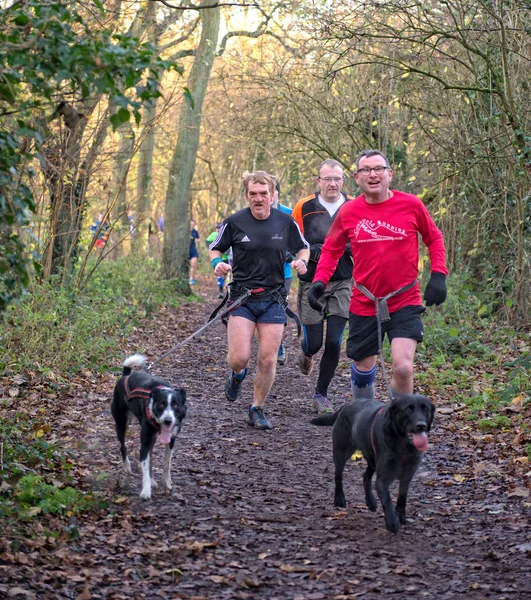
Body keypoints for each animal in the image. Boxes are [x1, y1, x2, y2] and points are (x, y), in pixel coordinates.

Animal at [111, 354, 188, 500]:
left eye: (175, 405)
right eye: (161, 405)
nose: (168, 420)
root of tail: (125, 376)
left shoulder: (171, 439)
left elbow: (167, 463)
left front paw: (166, 482)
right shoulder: (145, 443)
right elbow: (146, 469)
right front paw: (146, 491)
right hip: (121, 423)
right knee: (123, 446)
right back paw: (127, 466)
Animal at [314, 394, 434, 536]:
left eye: (425, 409)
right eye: (408, 409)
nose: (421, 425)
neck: (403, 446)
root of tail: (346, 405)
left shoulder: (407, 476)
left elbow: (402, 497)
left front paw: (400, 516)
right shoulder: (382, 480)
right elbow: (387, 500)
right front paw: (392, 522)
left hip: (372, 459)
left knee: (365, 476)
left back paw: (370, 501)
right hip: (341, 451)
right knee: (338, 475)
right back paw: (339, 499)